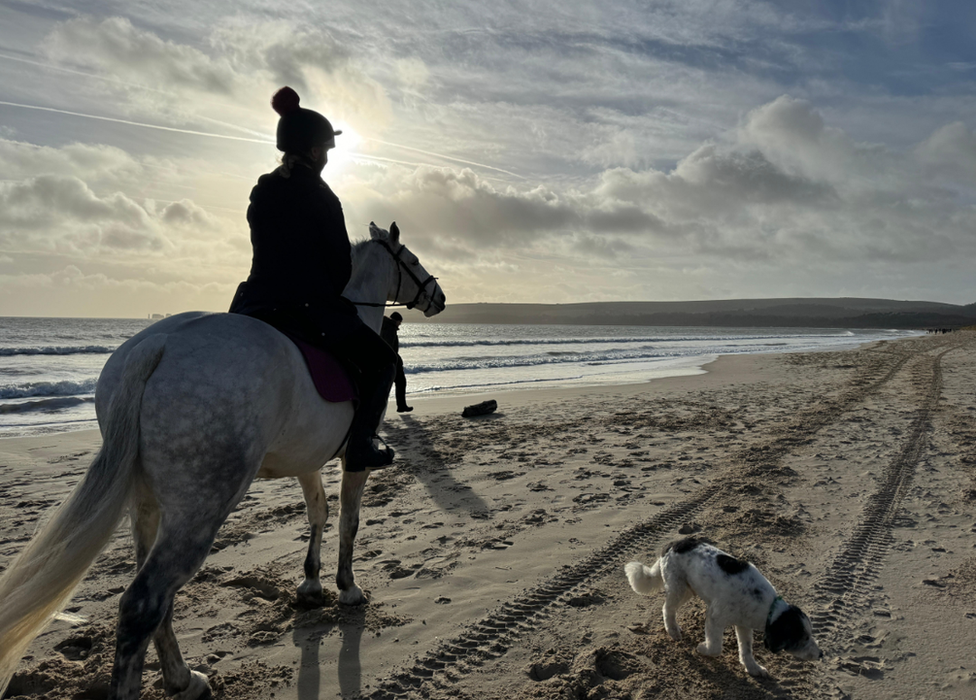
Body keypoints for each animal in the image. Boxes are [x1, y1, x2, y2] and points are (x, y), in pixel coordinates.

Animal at [0, 221, 448, 696]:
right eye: (412, 260)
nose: (439, 296)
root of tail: (157, 343)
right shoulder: (354, 459)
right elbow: (348, 520)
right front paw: (347, 587)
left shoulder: (307, 460)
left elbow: (318, 513)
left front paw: (310, 583)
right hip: (201, 505)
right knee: (143, 602)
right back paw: (176, 677)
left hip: (147, 503)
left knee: (153, 594)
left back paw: (181, 677)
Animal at [624, 536, 824, 680]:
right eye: (803, 638)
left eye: (810, 635)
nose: (821, 654)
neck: (768, 607)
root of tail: (672, 544)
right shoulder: (714, 617)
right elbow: (715, 648)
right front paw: (702, 649)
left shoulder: (744, 625)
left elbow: (746, 649)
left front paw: (753, 668)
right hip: (678, 588)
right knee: (667, 609)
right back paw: (672, 630)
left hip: (688, 589)